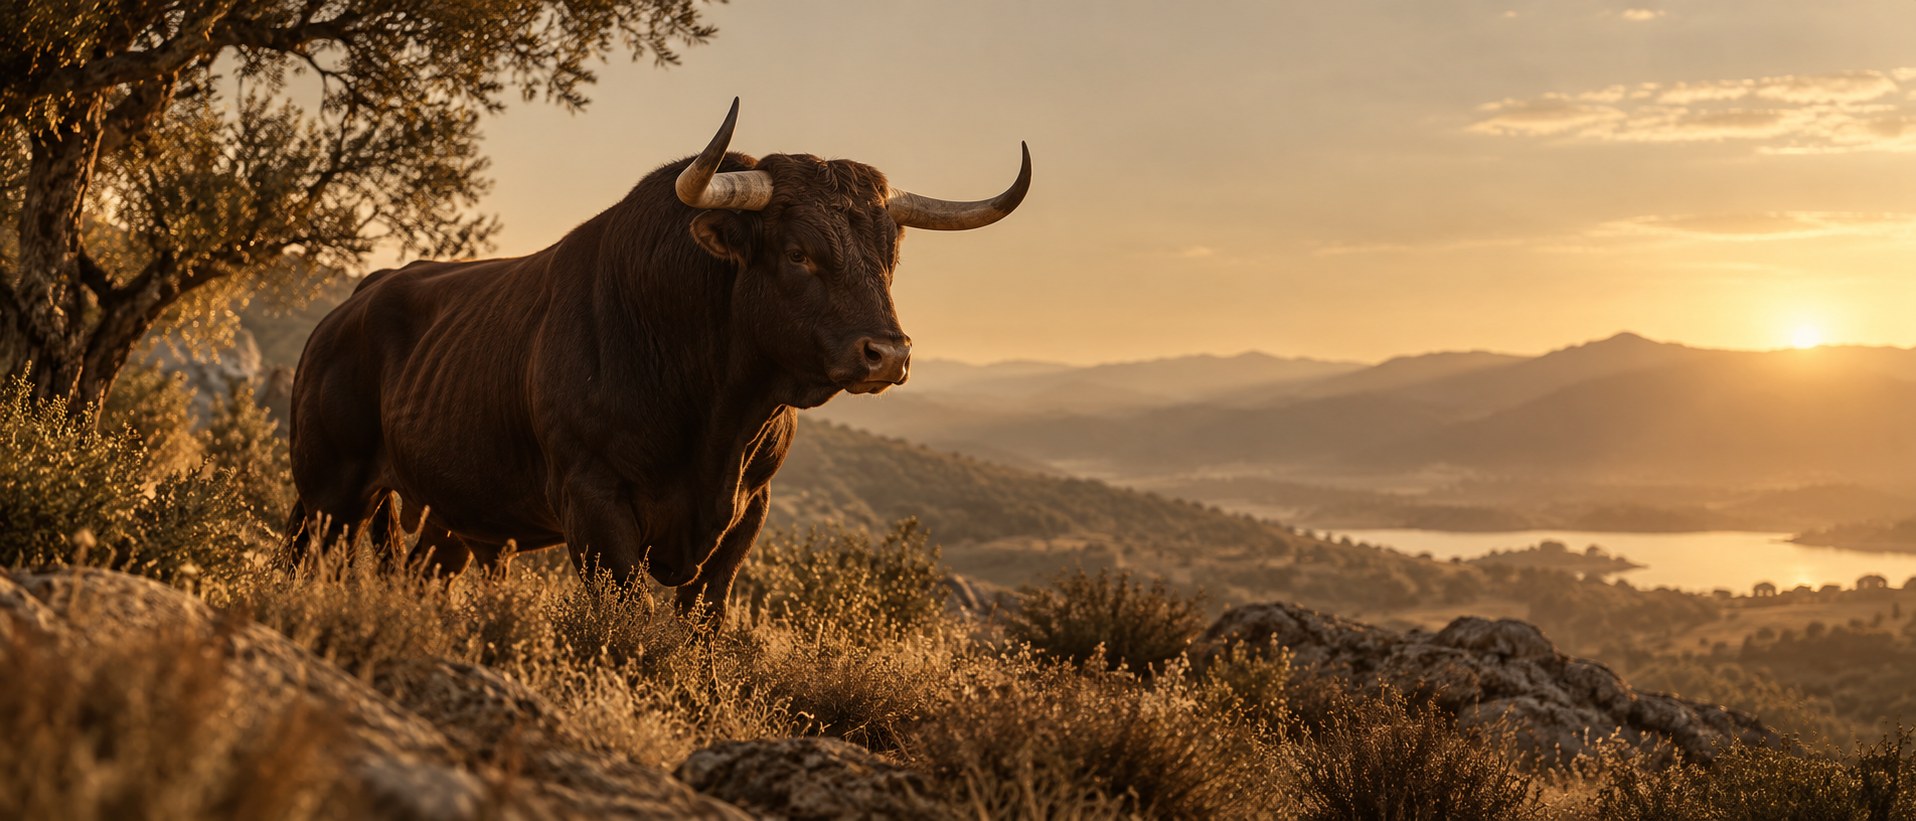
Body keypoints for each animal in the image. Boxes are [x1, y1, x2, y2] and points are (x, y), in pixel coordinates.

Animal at [284, 99, 1029, 617]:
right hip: (326, 486)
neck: (716, 417)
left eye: (889, 255)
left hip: (449, 514)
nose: (887, 353)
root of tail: (362, 295)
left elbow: (703, 620)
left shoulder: (748, 513)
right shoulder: (594, 500)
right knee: (295, 554)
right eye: (797, 252)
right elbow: (628, 616)